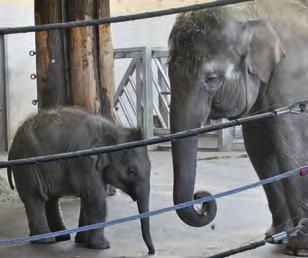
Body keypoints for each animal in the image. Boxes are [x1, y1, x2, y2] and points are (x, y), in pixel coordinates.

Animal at [7, 107, 155, 254]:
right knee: (35, 197)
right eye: (131, 171)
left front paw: (82, 241)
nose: (150, 252)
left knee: (50, 198)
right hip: (26, 165)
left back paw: (61, 236)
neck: (113, 130)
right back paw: (45, 240)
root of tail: (13, 142)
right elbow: (96, 198)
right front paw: (102, 246)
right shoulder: (86, 160)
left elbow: (87, 198)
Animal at [168, 0, 308, 255]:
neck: (252, 10)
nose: (202, 199)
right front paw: (275, 236)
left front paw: (298, 249)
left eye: (211, 79)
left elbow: (293, 149)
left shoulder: (293, 83)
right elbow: (258, 152)